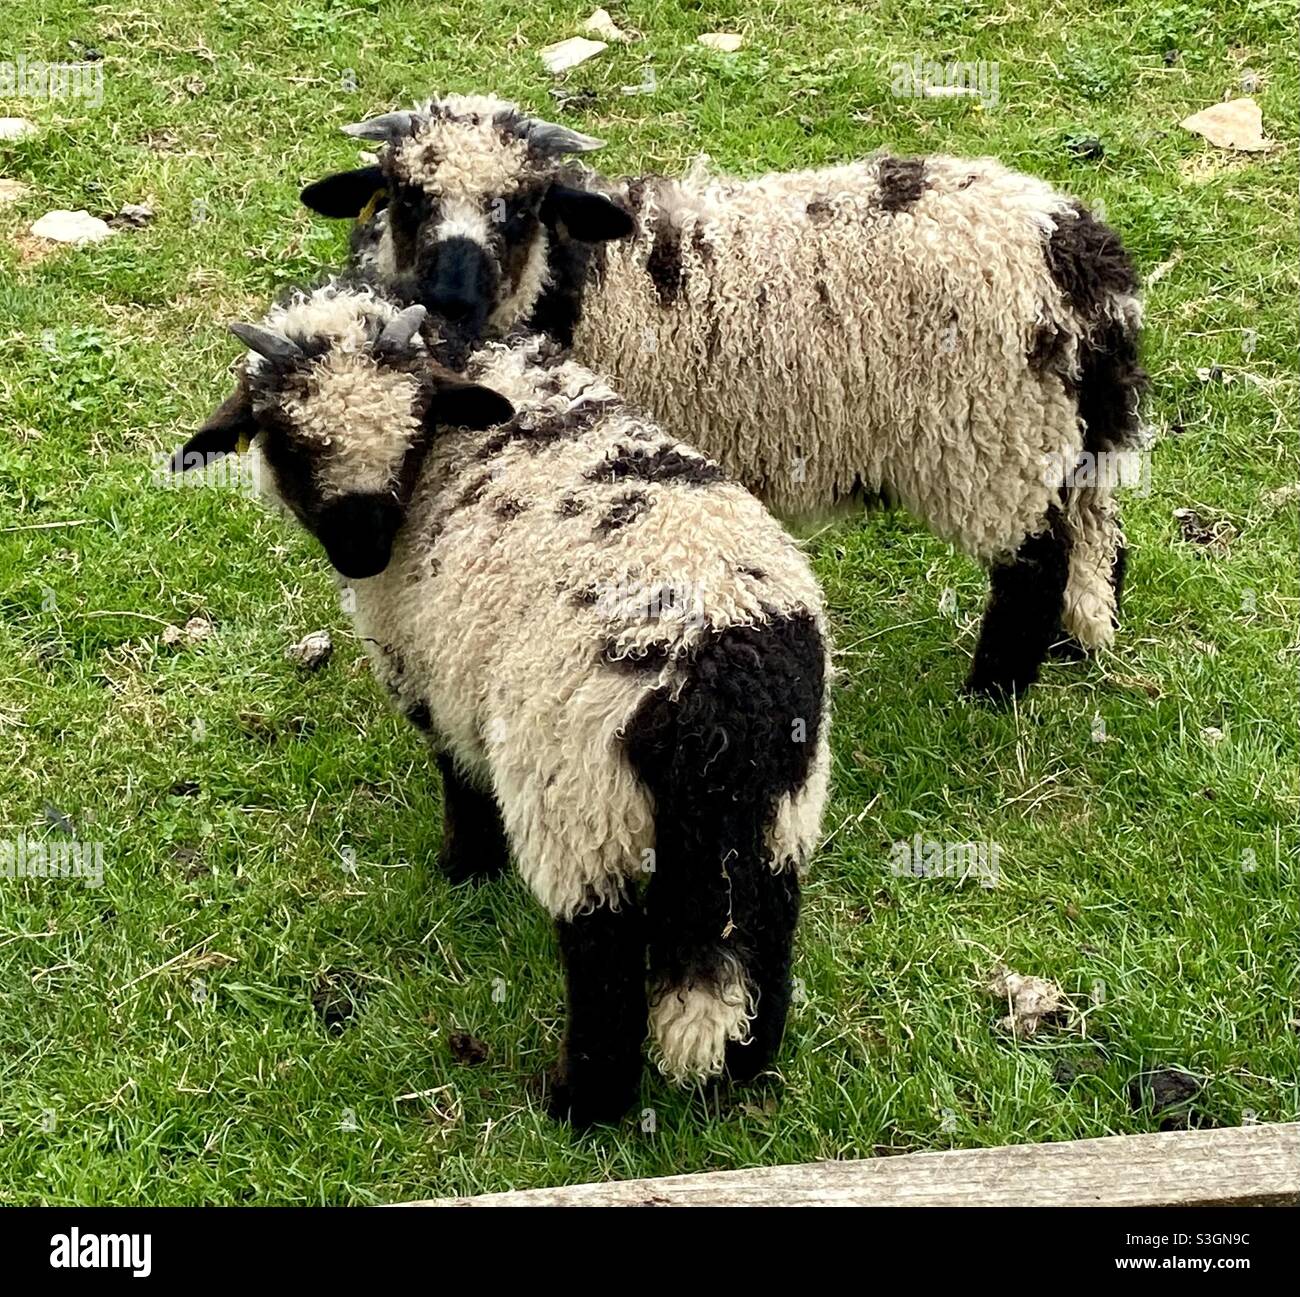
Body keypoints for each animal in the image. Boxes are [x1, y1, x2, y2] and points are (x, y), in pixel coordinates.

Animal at [170, 282, 832, 1128]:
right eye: (289, 441)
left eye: (413, 429)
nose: (364, 552)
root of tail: (715, 687)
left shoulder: (434, 675)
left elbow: (459, 776)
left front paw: (463, 866)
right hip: (781, 809)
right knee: (768, 925)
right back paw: (747, 1069)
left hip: (581, 803)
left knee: (603, 959)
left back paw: (579, 1104)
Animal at [297, 94, 1149, 701]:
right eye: (407, 197)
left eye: (524, 205)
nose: (451, 300)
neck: (576, 281)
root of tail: (1083, 257)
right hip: (1054, 433)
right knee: (1095, 535)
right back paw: (1072, 644)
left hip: (993, 438)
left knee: (1032, 563)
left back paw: (993, 690)